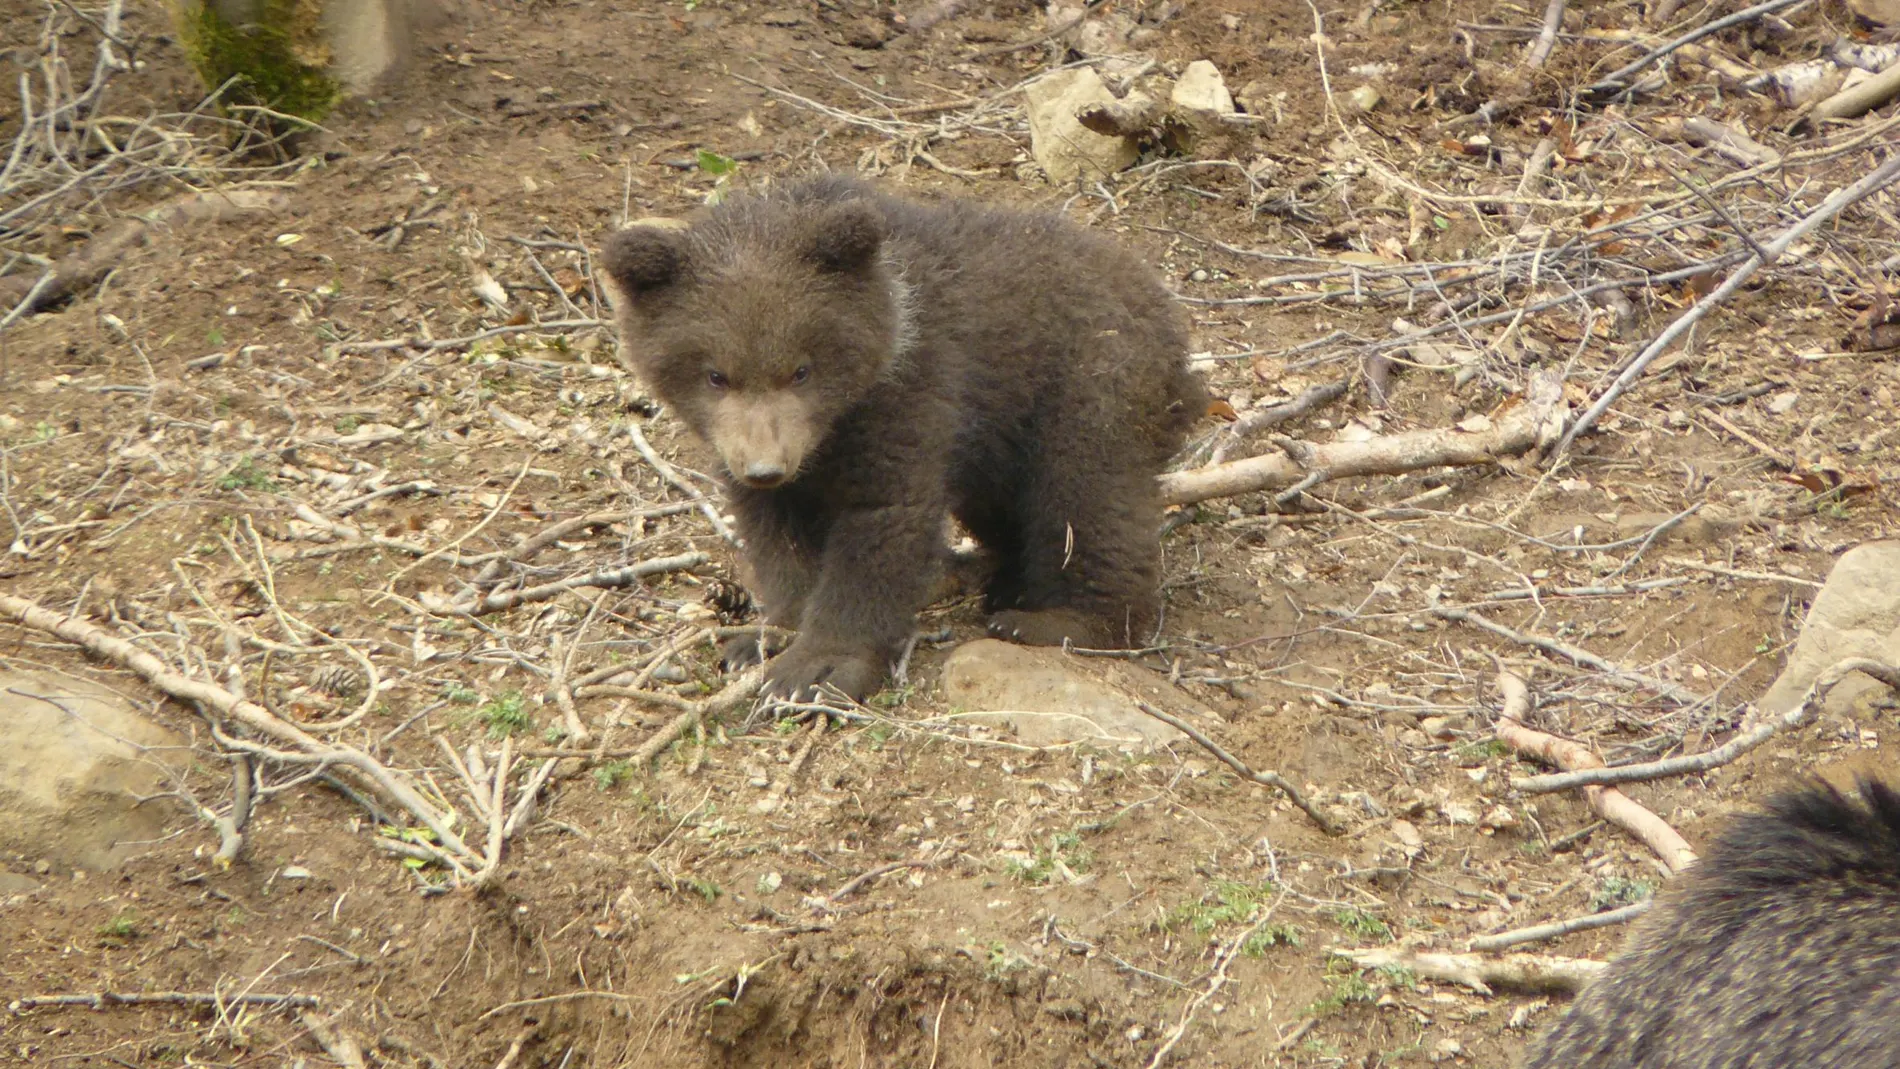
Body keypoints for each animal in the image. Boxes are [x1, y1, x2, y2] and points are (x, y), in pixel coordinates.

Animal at [599, 175, 1208, 703]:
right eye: (715, 374)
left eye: (802, 369)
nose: (768, 468)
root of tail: (1169, 315)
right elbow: (778, 539)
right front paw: (765, 636)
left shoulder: (912, 397)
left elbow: (881, 522)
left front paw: (818, 668)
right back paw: (1005, 581)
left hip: (1090, 389)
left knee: (1087, 503)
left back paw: (1057, 620)